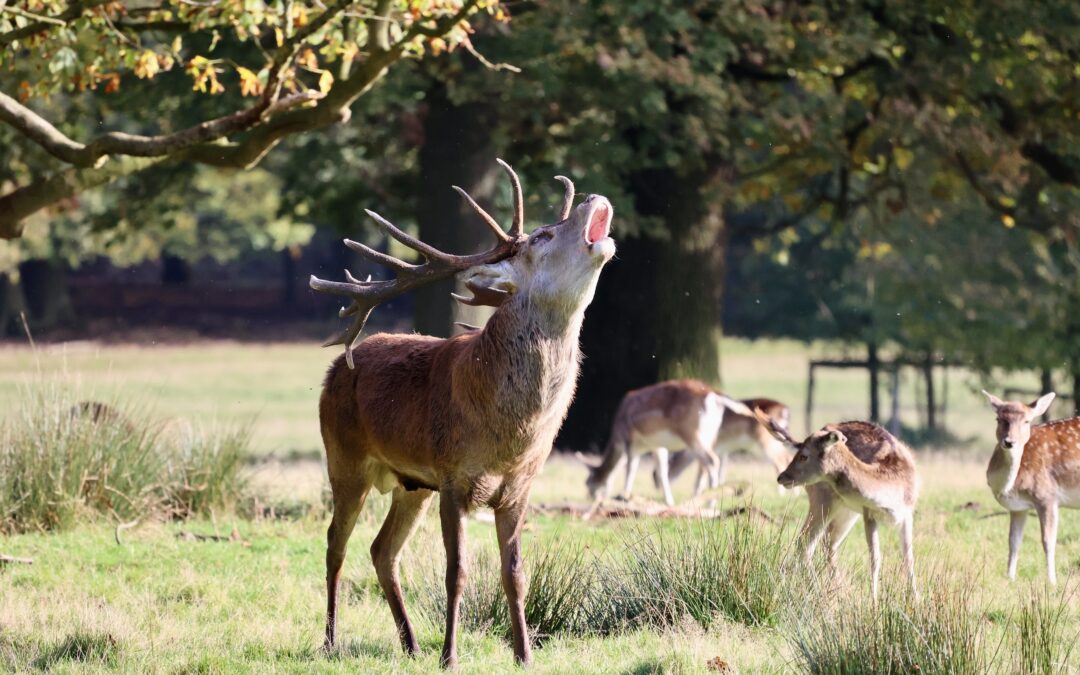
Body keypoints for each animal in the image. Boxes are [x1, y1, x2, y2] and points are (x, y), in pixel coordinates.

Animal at [311, 158, 617, 669]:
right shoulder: (453, 477)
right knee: (337, 543)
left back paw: (411, 643)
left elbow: (515, 574)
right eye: (543, 236)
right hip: (344, 458)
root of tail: (335, 368)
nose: (594, 196)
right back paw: (331, 641)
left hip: (412, 485)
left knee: (381, 550)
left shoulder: (519, 487)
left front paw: (524, 655)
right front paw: (450, 657)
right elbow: (456, 571)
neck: (508, 434)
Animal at [587, 380, 756, 505]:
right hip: (710, 435)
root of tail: (715, 396)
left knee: (711, 460)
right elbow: (662, 471)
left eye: (588, 483)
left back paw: (711, 503)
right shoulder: (657, 446)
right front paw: (669, 502)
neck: (617, 438)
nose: (591, 497)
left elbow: (631, 469)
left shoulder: (630, 440)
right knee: (706, 463)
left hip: (692, 434)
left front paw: (623, 497)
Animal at [656, 395, 794, 494]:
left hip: (765, 442)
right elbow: (720, 473)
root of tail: (786, 410)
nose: (658, 489)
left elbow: (700, 480)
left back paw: (781, 493)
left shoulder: (711, 448)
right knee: (788, 456)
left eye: (654, 474)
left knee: (781, 461)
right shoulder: (722, 451)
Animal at [756, 410, 924, 596]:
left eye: (804, 456)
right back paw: (819, 591)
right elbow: (875, 560)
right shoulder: (868, 513)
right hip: (822, 500)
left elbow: (908, 558)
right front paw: (874, 602)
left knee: (829, 543)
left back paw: (837, 588)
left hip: (847, 511)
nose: (782, 477)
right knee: (806, 543)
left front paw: (915, 599)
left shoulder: (907, 514)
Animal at [984, 388, 1075, 583]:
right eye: (999, 419)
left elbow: (1048, 541)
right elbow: (1014, 541)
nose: (1009, 441)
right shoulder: (1019, 507)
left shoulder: (1047, 496)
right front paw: (1009, 578)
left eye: (1026, 420)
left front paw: (1052, 582)